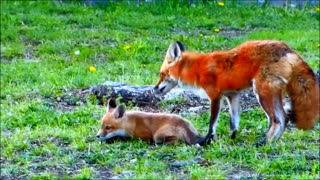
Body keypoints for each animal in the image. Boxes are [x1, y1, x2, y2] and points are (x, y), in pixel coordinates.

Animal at [154, 40, 318, 146]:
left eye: (161, 74)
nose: (153, 89)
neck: (196, 69)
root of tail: (287, 48)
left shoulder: (215, 96)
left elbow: (212, 124)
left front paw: (207, 141)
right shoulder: (232, 95)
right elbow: (234, 122)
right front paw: (231, 139)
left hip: (261, 93)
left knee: (276, 119)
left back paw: (264, 143)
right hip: (272, 93)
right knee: (284, 118)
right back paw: (273, 142)